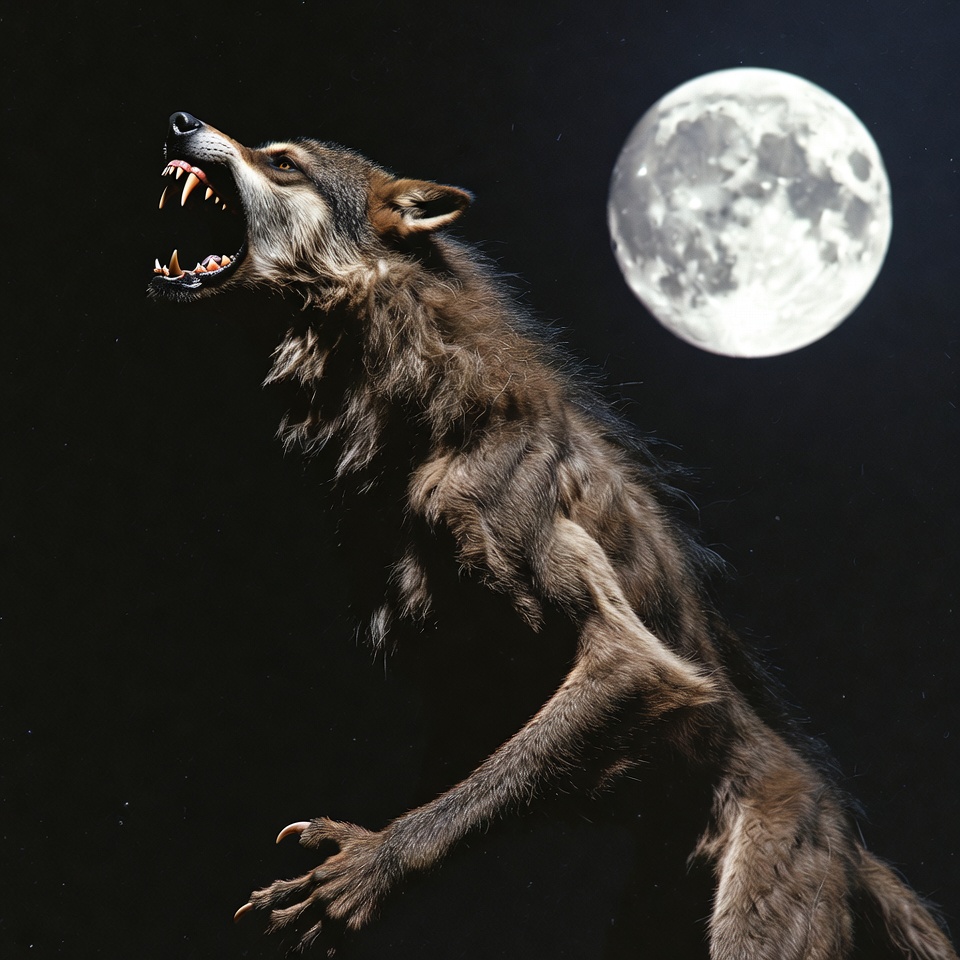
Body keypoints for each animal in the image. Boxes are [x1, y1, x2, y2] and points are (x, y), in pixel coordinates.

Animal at [148, 111, 956, 959]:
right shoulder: (463, 685)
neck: (416, 413)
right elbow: (467, 786)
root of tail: (851, 844)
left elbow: (469, 796)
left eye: (282, 162)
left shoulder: (617, 643)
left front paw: (366, 870)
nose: (179, 121)